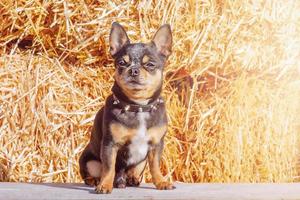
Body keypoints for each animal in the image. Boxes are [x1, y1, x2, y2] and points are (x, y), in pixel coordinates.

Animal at [78, 21, 175, 194]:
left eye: (150, 64)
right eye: (122, 63)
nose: (134, 70)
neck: (138, 106)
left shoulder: (156, 145)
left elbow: (155, 166)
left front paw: (161, 182)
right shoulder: (110, 145)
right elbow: (109, 168)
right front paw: (105, 185)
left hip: (141, 160)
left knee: (135, 170)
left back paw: (131, 179)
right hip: (90, 161)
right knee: (94, 172)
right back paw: (97, 181)